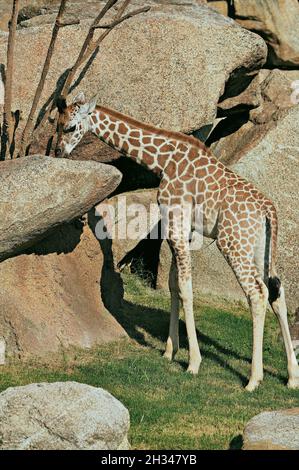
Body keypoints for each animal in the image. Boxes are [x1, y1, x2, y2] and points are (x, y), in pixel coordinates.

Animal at [54, 91, 299, 390]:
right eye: (57, 123)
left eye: (70, 127)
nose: (59, 152)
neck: (163, 160)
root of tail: (268, 210)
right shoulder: (183, 228)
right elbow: (172, 284)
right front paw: (170, 350)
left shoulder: (175, 220)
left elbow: (185, 287)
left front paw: (193, 362)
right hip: (260, 248)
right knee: (277, 291)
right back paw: (292, 376)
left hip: (232, 242)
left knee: (257, 292)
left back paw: (254, 379)